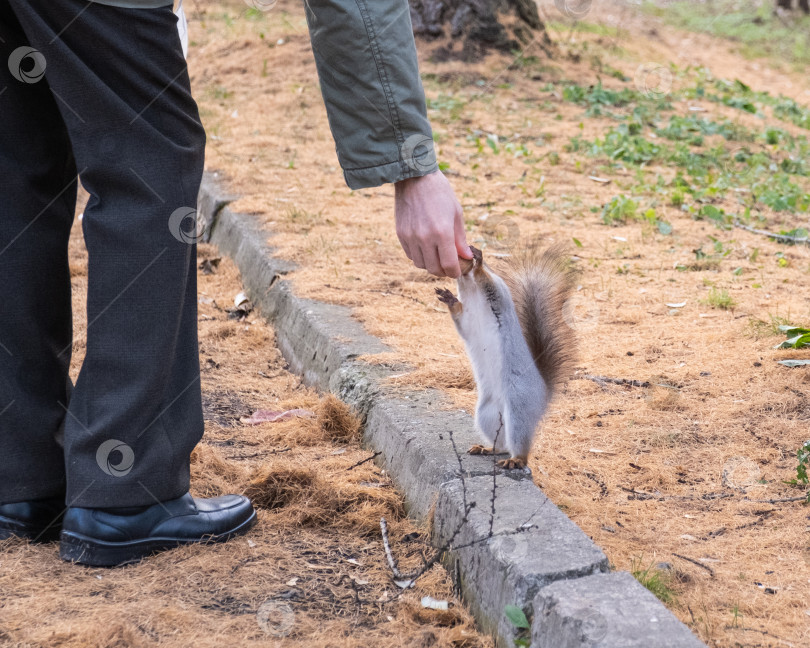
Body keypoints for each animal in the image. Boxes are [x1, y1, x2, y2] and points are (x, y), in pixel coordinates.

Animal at [436, 246, 576, 468]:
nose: (459, 271)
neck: (474, 294)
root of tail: (544, 397)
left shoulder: (499, 297)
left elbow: (488, 282)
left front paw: (478, 263)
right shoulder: (468, 321)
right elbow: (461, 318)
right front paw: (450, 300)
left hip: (518, 408)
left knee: (520, 446)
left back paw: (516, 460)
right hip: (487, 414)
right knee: (502, 443)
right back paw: (488, 449)